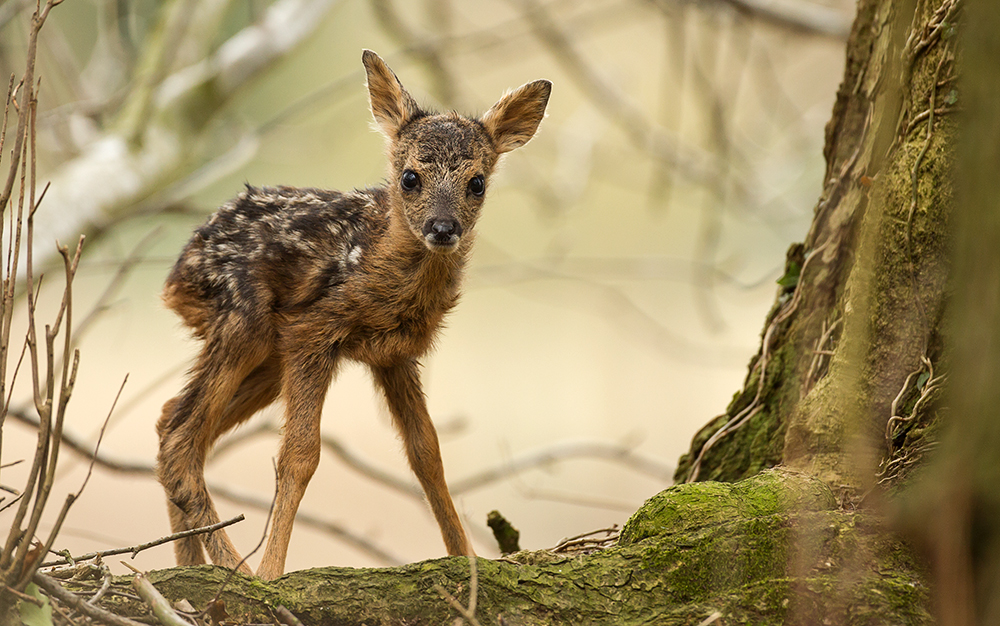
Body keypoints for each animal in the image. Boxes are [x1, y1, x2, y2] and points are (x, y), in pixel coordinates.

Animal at [152, 50, 552, 580]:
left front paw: (467, 561)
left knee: (170, 420)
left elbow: (428, 455)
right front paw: (273, 574)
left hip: (268, 359)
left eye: (478, 183)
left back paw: (188, 568)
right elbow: (300, 456)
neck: (377, 264)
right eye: (410, 177)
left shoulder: (395, 354)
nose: (443, 227)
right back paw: (236, 570)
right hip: (245, 321)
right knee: (181, 436)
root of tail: (176, 275)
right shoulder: (313, 330)